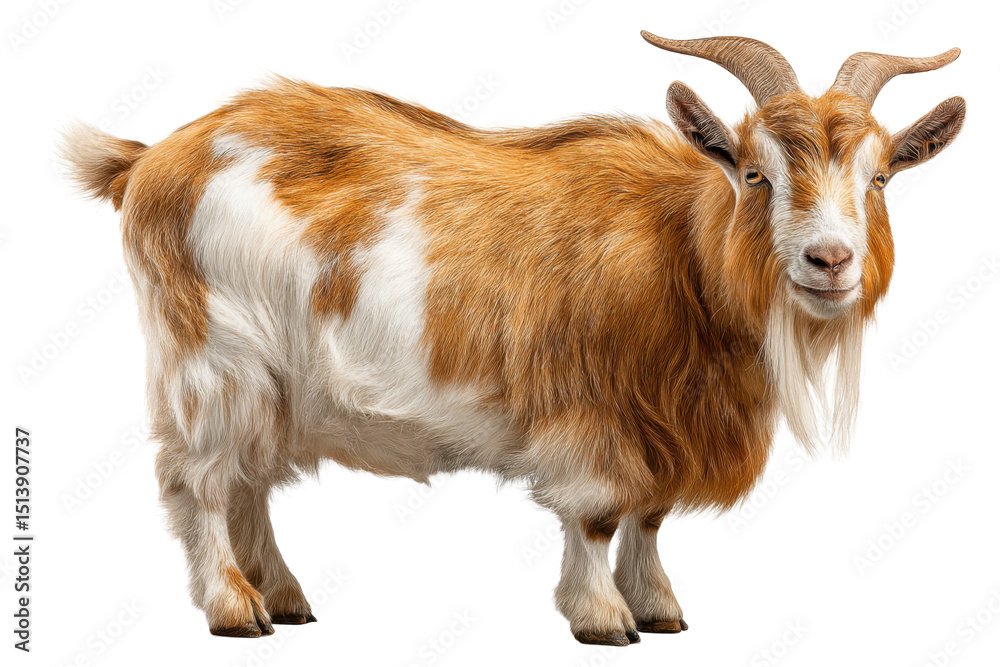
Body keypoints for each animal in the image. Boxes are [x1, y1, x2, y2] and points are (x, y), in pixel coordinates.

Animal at [60, 33, 965, 645]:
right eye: (754, 173)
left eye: (881, 177)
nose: (831, 260)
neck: (676, 247)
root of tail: (149, 160)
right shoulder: (596, 415)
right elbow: (598, 515)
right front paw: (602, 617)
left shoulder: (663, 421)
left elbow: (651, 515)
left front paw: (660, 607)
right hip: (214, 358)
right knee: (200, 481)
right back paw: (234, 607)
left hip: (270, 384)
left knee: (246, 482)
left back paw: (283, 596)